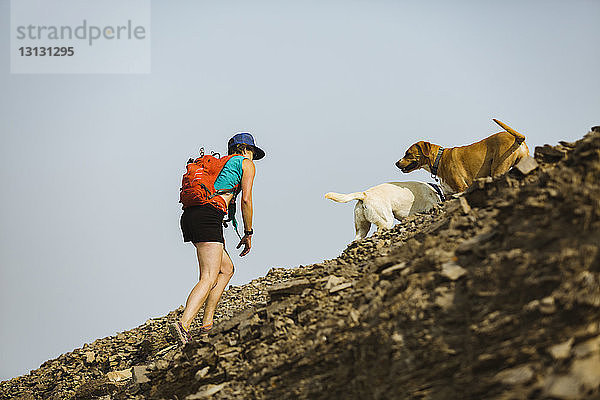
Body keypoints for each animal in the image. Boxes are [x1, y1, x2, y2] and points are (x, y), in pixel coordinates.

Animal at [394, 119, 528, 194]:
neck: (439, 159)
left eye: (408, 153)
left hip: (498, 168)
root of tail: (517, 139)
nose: (396, 163)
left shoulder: (461, 188)